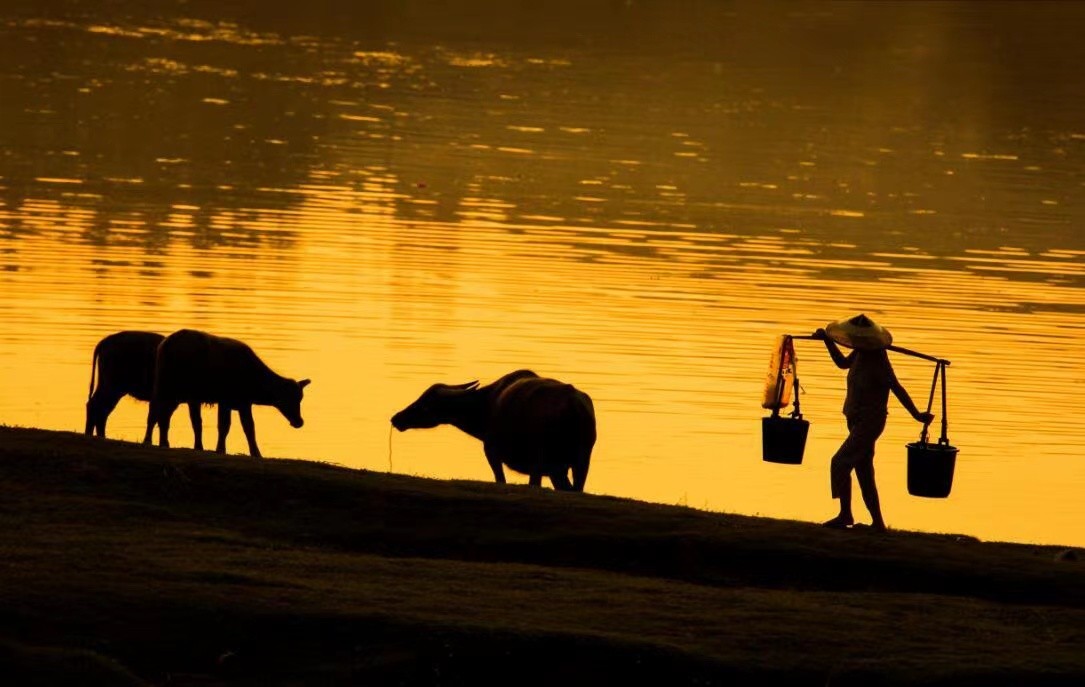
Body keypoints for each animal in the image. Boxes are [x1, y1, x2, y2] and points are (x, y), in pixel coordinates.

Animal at [148, 329, 310, 458]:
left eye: (300, 398)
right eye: (289, 398)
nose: (299, 421)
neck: (256, 385)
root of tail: (165, 344)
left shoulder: (235, 403)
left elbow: (234, 427)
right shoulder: (234, 401)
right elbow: (241, 427)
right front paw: (252, 452)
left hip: (175, 394)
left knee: (164, 416)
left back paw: (165, 443)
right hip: (167, 388)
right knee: (157, 414)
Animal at [390, 369, 594, 488]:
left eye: (425, 403)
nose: (396, 418)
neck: (484, 406)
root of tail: (575, 406)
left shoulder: (491, 450)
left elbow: (500, 479)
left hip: (543, 459)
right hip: (580, 461)